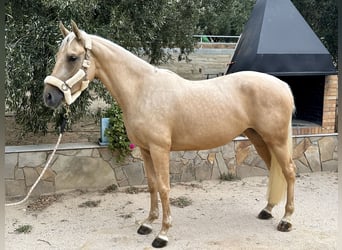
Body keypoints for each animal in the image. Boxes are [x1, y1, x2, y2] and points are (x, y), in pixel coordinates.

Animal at [44, 21, 296, 248]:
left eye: (72, 57)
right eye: (59, 55)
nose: (48, 96)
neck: (142, 90)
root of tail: (283, 86)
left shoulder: (159, 150)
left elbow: (165, 188)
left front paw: (163, 234)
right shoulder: (145, 150)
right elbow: (152, 185)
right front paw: (147, 224)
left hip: (277, 140)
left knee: (289, 172)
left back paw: (286, 220)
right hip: (259, 139)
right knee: (274, 170)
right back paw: (267, 210)